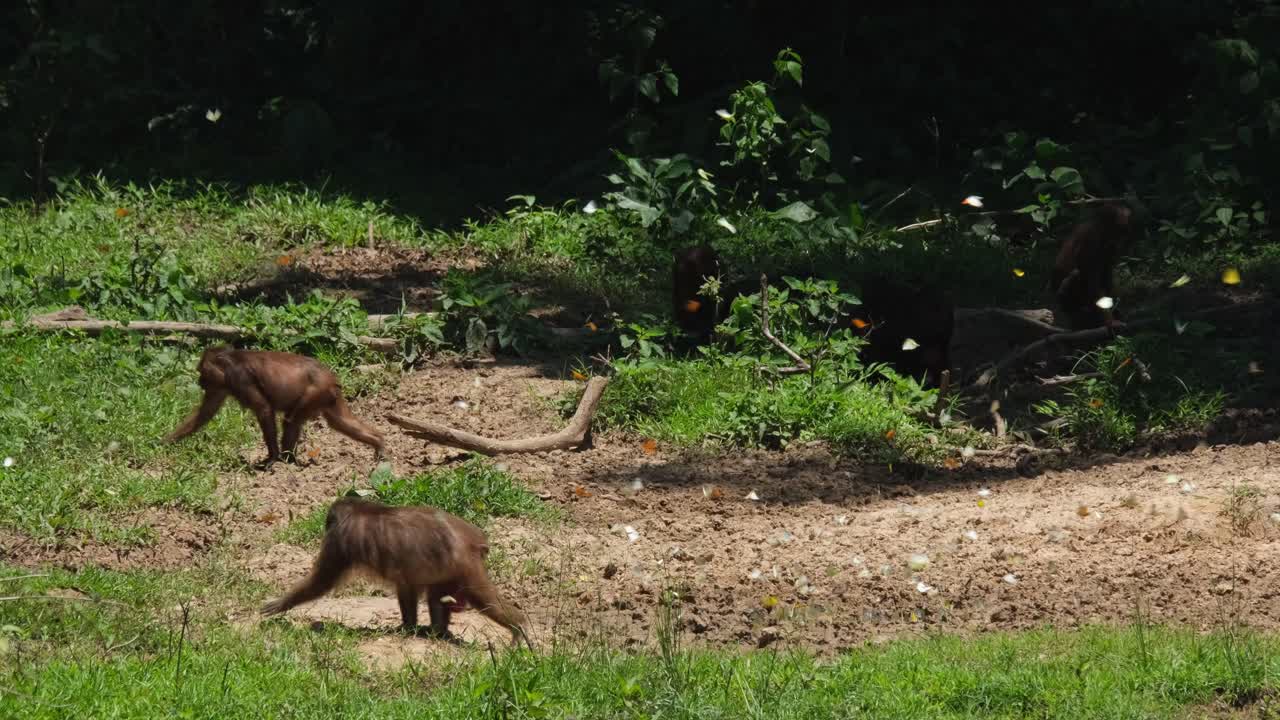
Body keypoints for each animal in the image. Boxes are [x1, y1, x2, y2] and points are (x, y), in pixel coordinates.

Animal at [164, 347, 385, 469]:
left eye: (202, 371)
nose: (200, 381)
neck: (231, 361)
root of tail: (331, 378)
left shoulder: (239, 377)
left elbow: (263, 409)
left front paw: (272, 458)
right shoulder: (220, 384)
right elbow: (205, 413)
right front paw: (164, 442)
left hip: (317, 391)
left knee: (292, 420)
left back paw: (286, 459)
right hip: (327, 396)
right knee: (339, 422)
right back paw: (378, 442)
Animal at [261, 497, 531, 648]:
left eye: (329, 523)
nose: (325, 527)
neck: (358, 510)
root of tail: (474, 541)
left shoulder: (340, 538)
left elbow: (322, 582)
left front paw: (283, 603)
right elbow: (409, 587)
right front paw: (412, 627)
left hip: (466, 569)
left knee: (482, 599)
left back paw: (517, 626)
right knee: (436, 597)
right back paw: (438, 631)